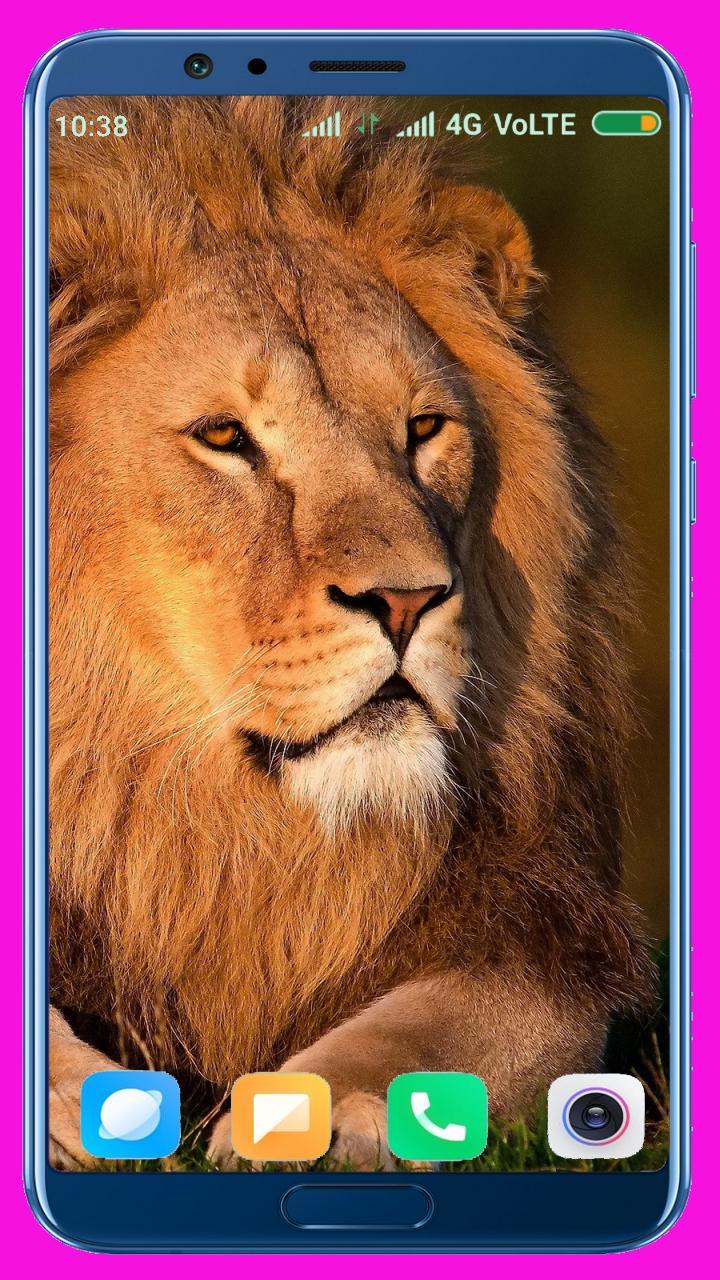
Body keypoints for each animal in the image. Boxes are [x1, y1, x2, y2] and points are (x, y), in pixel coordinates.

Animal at [47, 96, 649, 1171]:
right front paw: (82, 1107)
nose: (408, 602)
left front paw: (314, 1115)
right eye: (224, 437)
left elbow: (431, 1035)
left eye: (423, 429)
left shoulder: (540, 934)